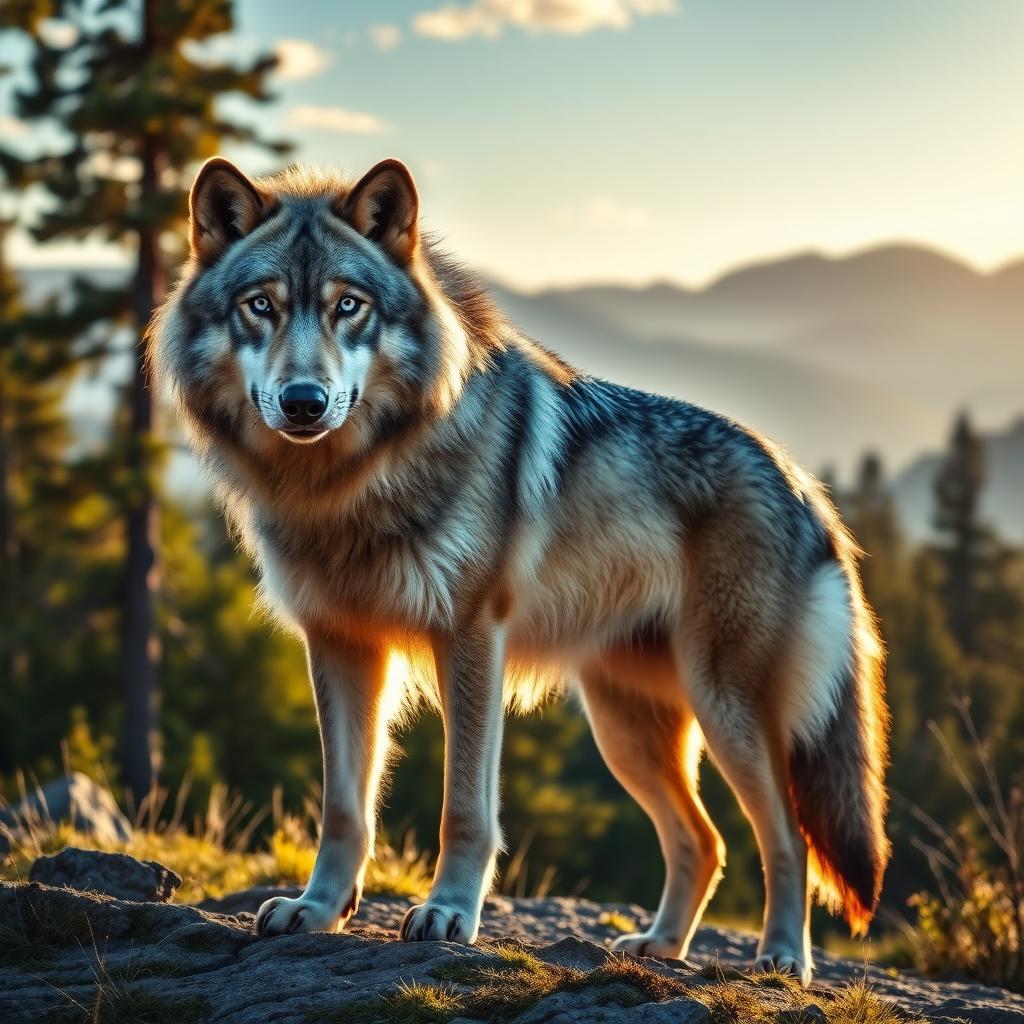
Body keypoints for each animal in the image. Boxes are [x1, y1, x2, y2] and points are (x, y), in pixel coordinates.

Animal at [150, 156, 890, 984]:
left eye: (349, 306)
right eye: (261, 306)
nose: (304, 401)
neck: (348, 486)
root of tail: (804, 485)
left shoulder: (470, 638)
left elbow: (464, 807)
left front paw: (447, 914)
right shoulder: (339, 644)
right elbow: (344, 806)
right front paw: (317, 909)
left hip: (724, 710)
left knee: (785, 839)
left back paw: (781, 960)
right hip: (625, 731)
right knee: (706, 841)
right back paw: (658, 946)